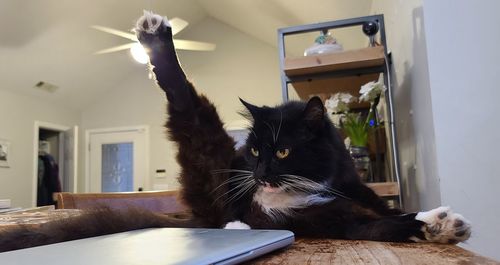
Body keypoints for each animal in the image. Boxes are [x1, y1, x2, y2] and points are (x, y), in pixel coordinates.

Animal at [0, 11, 470, 252]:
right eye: (255, 152)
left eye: (281, 152)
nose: (258, 175)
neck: (310, 186)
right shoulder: (316, 218)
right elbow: (374, 226)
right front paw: (434, 224)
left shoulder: (348, 197)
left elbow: (382, 217)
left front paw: (442, 226)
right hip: (207, 152)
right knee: (184, 99)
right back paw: (155, 35)